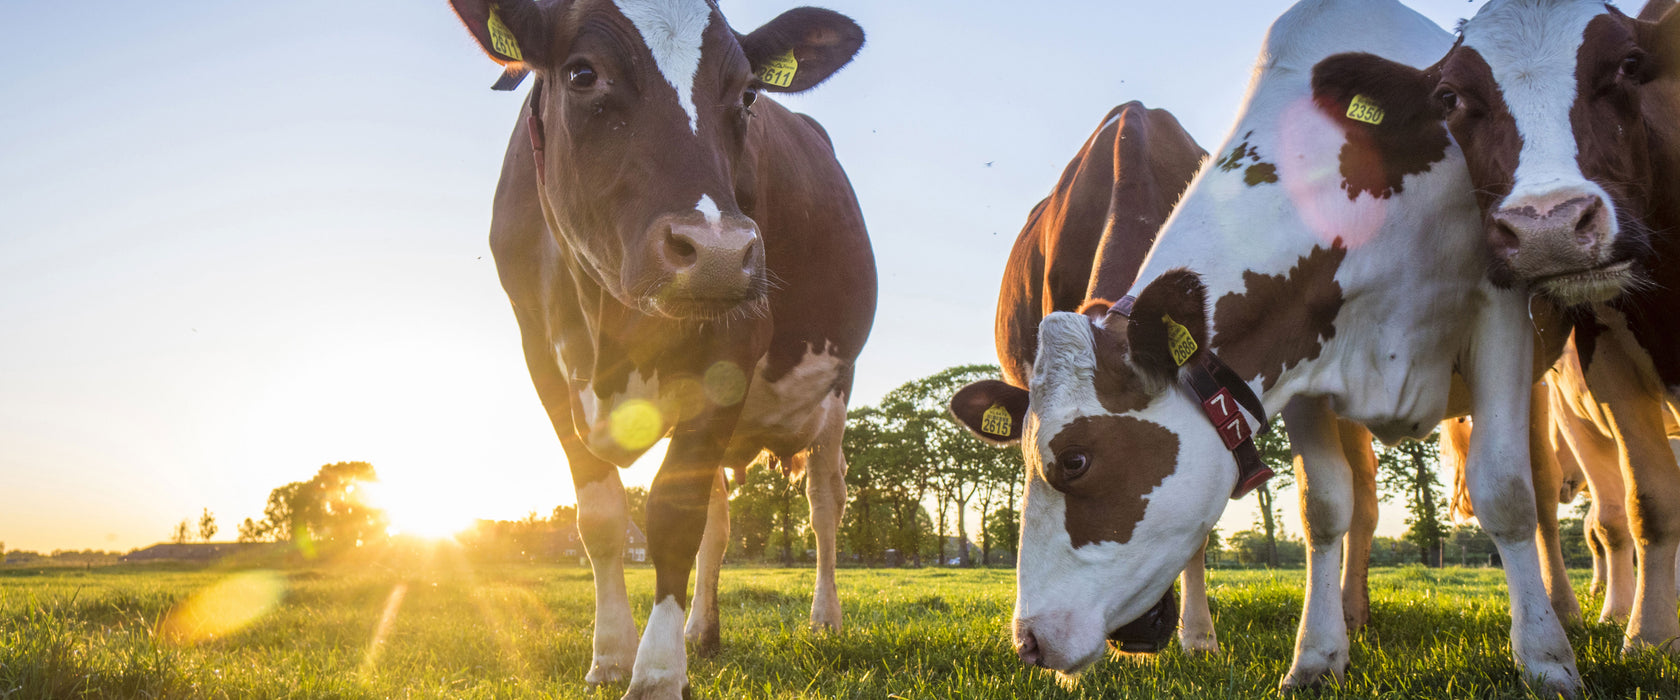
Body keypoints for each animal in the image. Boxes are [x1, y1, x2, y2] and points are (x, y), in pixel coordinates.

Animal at [443, 4, 880, 691]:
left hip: (835, 388)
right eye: (582, 74)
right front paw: (610, 656)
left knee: (824, 504)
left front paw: (654, 675)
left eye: (749, 93)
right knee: (721, 522)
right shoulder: (541, 358)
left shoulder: (733, 346)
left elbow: (674, 518)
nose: (720, 253)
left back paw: (824, 620)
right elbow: (600, 517)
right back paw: (703, 632)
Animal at [960, 0, 1585, 691]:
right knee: (1366, 501)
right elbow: (1326, 506)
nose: (1029, 642)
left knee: (1542, 488)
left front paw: (1547, 661)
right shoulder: (1305, 358)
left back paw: (1572, 612)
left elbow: (1505, 490)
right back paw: (1352, 614)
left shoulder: (1500, 307)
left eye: (1074, 460)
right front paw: (1316, 656)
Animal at [1310, 0, 1680, 654]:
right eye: (1450, 97)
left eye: (1630, 64)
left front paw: (1643, 634)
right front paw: (1652, 639)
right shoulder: (1608, 358)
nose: (1547, 227)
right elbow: (1650, 502)